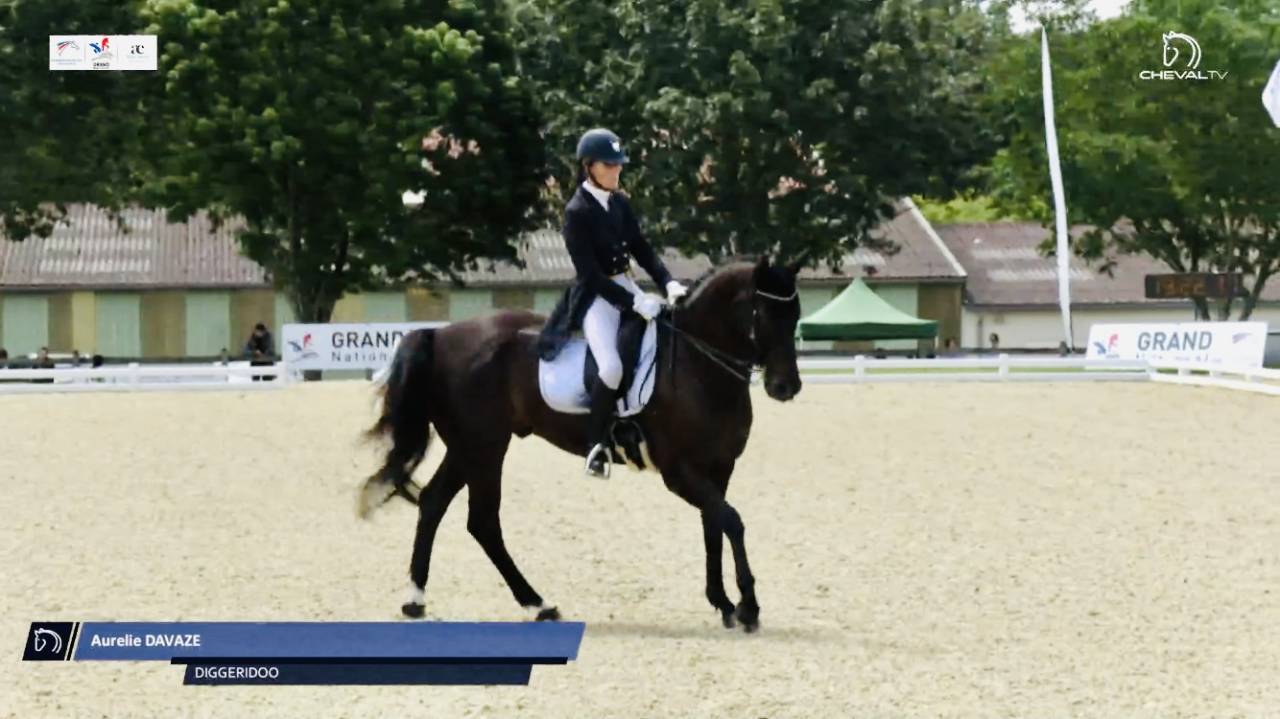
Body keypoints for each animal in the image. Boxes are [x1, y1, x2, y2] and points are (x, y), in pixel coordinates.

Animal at [360, 256, 803, 632]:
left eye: (796, 315)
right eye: (765, 314)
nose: (786, 387)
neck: (698, 366)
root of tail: (441, 334)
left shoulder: (719, 466)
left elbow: (714, 525)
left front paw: (724, 602)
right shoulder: (678, 472)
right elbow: (733, 521)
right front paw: (748, 606)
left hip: (468, 447)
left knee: (434, 503)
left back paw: (416, 599)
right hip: (485, 447)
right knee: (482, 521)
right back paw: (537, 604)